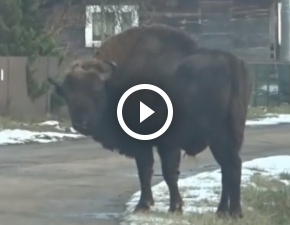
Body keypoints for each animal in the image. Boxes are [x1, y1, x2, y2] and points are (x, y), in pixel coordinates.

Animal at [48, 24, 253, 218]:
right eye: (68, 95)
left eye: (97, 91)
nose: (81, 123)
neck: (115, 82)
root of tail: (232, 63)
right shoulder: (167, 145)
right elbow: (167, 173)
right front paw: (173, 206)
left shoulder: (152, 144)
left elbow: (152, 171)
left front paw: (149, 206)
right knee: (227, 168)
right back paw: (222, 212)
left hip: (218, 138)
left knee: (231, 166)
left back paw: (234, 212)